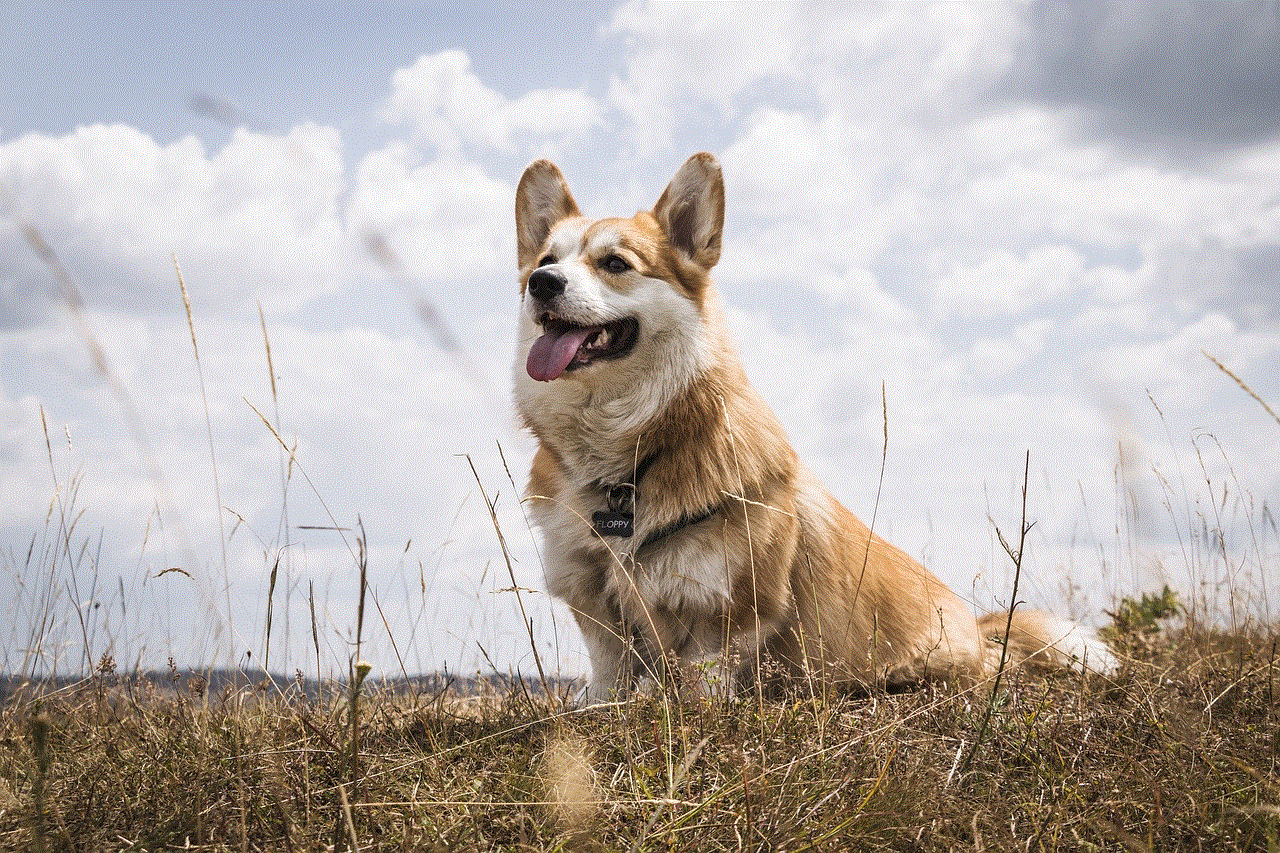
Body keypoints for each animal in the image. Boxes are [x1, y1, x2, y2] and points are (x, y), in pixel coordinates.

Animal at [514, 154, 1116, 701]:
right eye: (546, 259)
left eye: (615, 263)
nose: (542, 283)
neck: (627, 453)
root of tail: (984, 633)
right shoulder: (598, 612)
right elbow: (607, 684)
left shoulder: (726, 618)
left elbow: (702, 694)